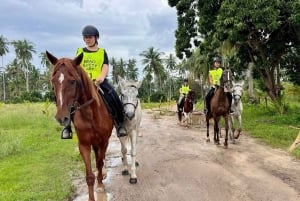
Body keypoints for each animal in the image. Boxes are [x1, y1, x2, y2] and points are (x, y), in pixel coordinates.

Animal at [46, 51, 113, 200]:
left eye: (73, 81)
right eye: (53, 82)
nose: (61, 117)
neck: (90, 115)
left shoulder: (104, 141)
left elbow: (99, 163)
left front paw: (100, 185)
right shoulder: (84, 145)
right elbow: (89, 176)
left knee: (101, 159)